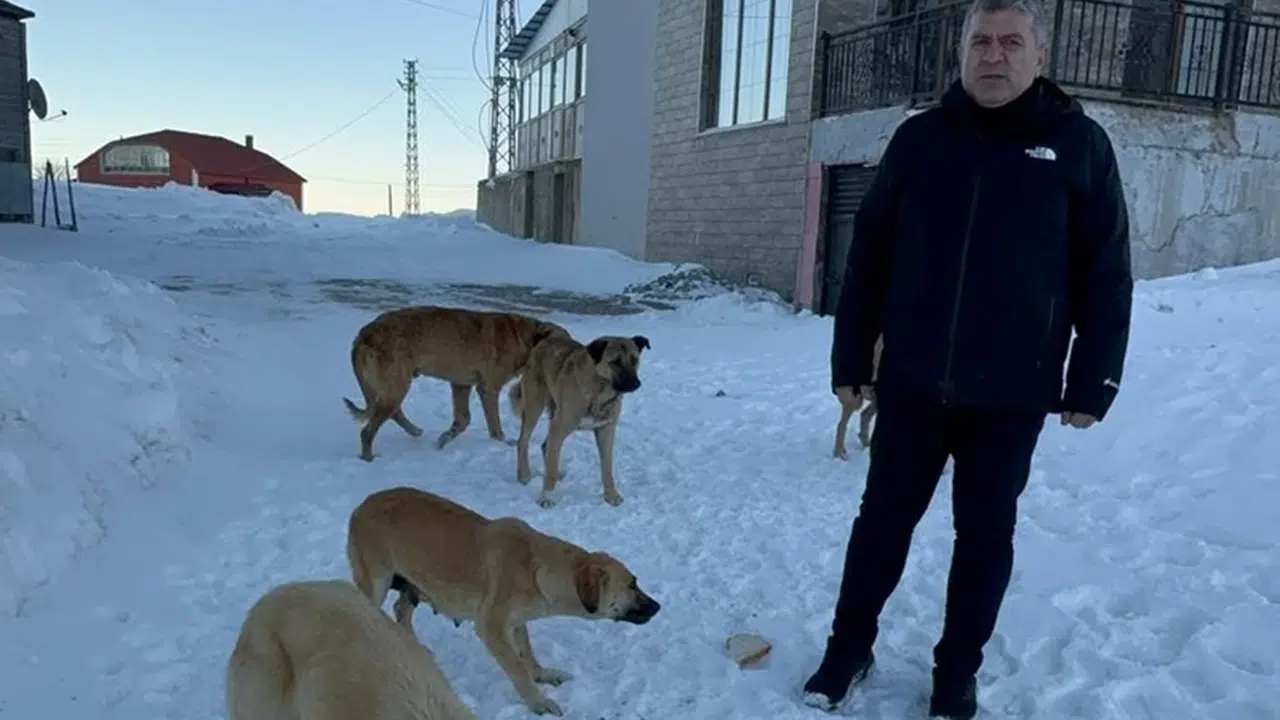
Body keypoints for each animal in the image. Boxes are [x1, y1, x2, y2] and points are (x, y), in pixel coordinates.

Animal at [341, 305, 569, 461]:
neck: (525, 339)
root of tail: (362, 336)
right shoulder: (488, 388)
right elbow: (494, 426)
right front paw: (505, 443)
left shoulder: (461, 385)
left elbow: (463, 420)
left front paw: (443, 440)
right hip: (397, 386)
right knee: (368, 432)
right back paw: (368, 459)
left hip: (393, 388)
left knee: (392, 413)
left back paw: (415, 431)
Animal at [346, 486, 661, 717]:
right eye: (632, 584)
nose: (658, 607)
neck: (538, 568)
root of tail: (360, 507)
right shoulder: (492, 627)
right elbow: (517, 668)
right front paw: (538, 702)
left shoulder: (516, 622)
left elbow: (527, 653)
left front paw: (541, 674)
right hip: (376, 583)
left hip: (412, 586)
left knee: (400, 610)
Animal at [508, 333, 650, 508]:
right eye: (615, 362)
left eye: (634, 360)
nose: (636, 384)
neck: (599, 394)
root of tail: (543, 342)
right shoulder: (559, 427)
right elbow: (550, 471)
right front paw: (547, 498)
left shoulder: (606, 431)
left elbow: (607, 469)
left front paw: (611, 495)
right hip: (534, 407)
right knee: (523, 441)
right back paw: (524, 475)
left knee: (546, 446)